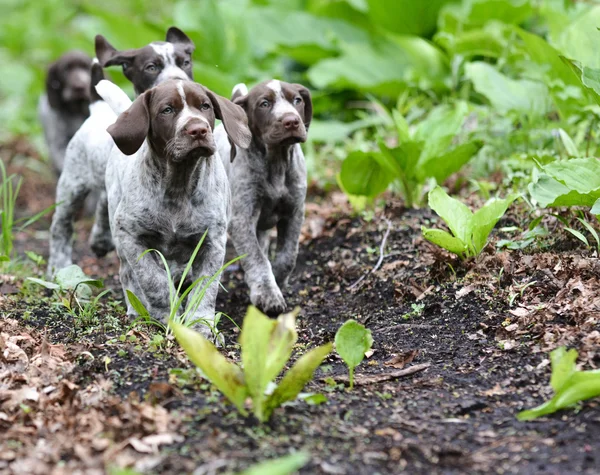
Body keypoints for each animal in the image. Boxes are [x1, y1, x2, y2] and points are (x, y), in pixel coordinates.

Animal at [49, 26, 196, 278]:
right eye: (151, 67)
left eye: (185, 62)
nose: (178, 82)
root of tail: (97, 108)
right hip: (71, 184)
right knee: (61, 226)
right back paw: (58, 266)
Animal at [102, 80, 250, 336]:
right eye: (167, 110)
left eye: (205, 106)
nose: (198, 130)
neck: (178, 184)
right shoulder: (129, 235)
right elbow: (152, 279)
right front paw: (166, 314)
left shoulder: (213, 242)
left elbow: (205, 287)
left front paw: (200, 325)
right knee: (127, 274)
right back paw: (136, 309)